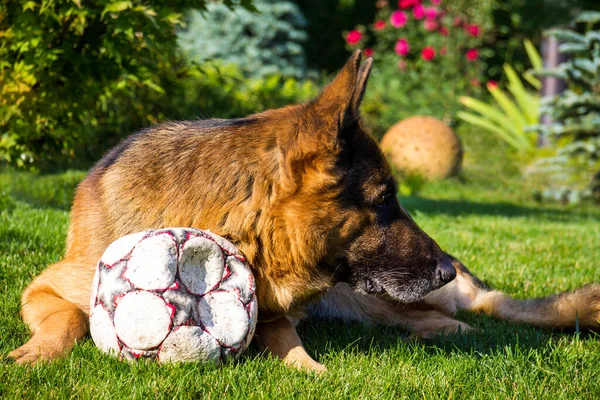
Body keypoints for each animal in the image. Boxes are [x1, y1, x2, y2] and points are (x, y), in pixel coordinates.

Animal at [9, 50, 600, 372]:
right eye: (384, 201)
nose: (444, 269)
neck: (226, 221)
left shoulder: (278, 311)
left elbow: (285, 337)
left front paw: (309, 369)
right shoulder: (43, 287)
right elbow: (67, 318)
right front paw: (34, 356)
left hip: (373, 296)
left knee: (484, 308)